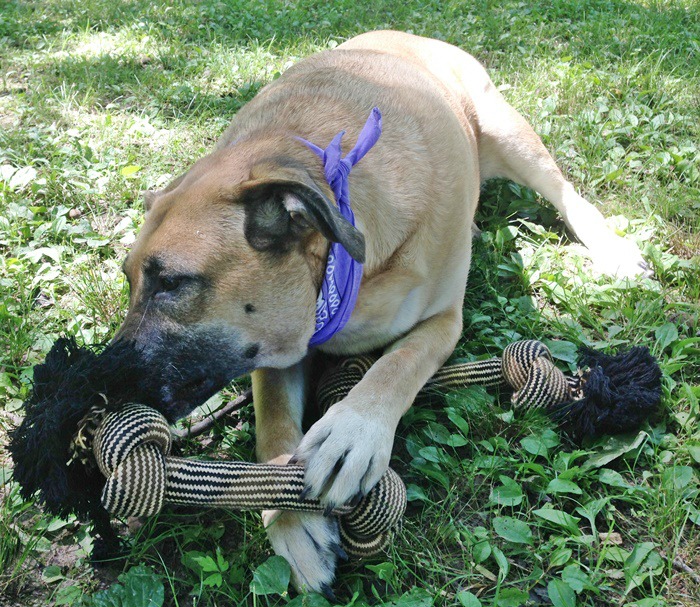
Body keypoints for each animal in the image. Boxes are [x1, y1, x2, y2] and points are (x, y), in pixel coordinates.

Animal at [115, 29, 644, 592]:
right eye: (128, 278)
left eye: (172, 284)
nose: (98, 398)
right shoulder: (276, 346)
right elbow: (274, 423)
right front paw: (293, 521)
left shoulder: (442, 322)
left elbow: (396, 367)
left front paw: (354, 430)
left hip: (509, 134)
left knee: (565, 192)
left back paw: (611, 249)